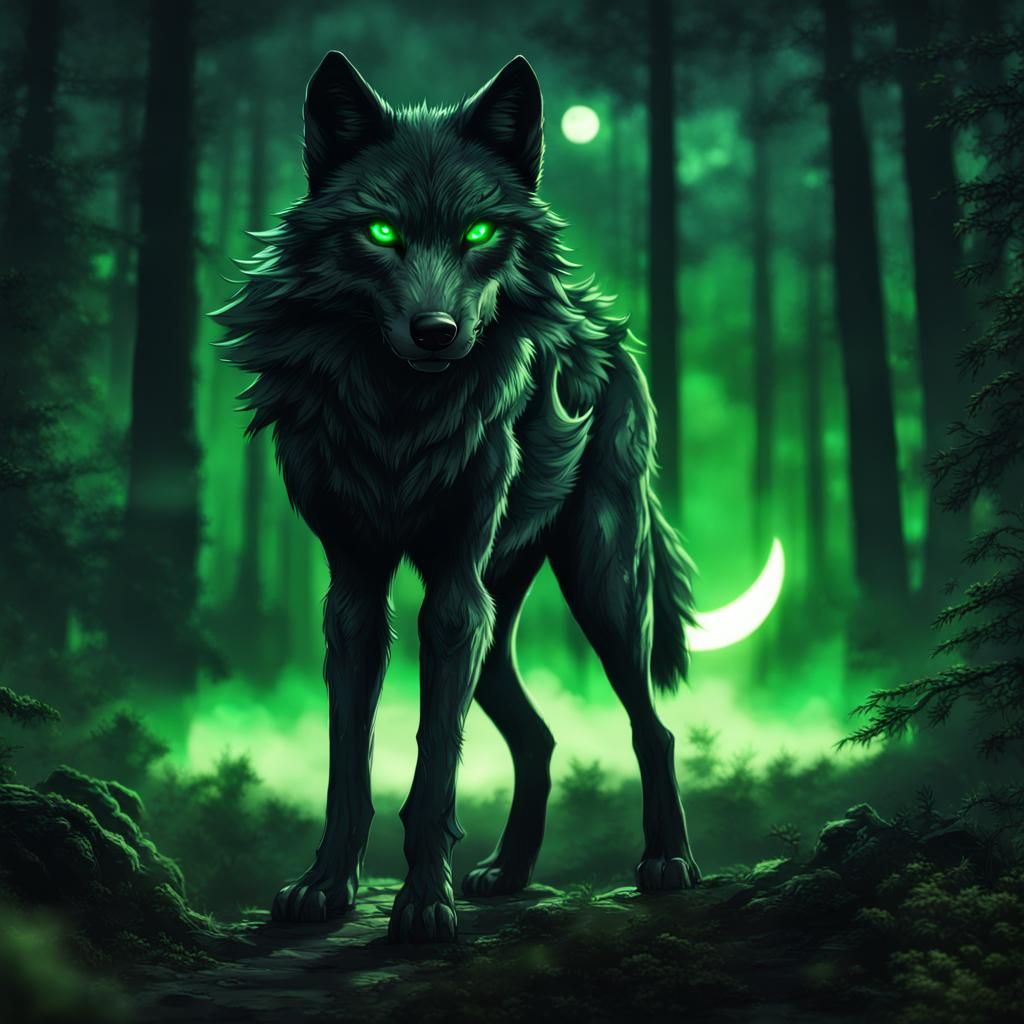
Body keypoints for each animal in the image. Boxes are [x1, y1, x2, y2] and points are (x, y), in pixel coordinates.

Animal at [214, 52, 701, 943]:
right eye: (380, 233)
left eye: (478, 233)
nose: (435, 331)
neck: (398, 414)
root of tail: (606, 322)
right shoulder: (356, 590)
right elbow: (348, 766)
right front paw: (325, 886)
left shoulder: (450, 596)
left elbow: (434, 770)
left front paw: (423, 905)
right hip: (497, 616)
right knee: (540, 739)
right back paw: (508, 873)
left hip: (599, 588)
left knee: (655, 727)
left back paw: (668, 862)